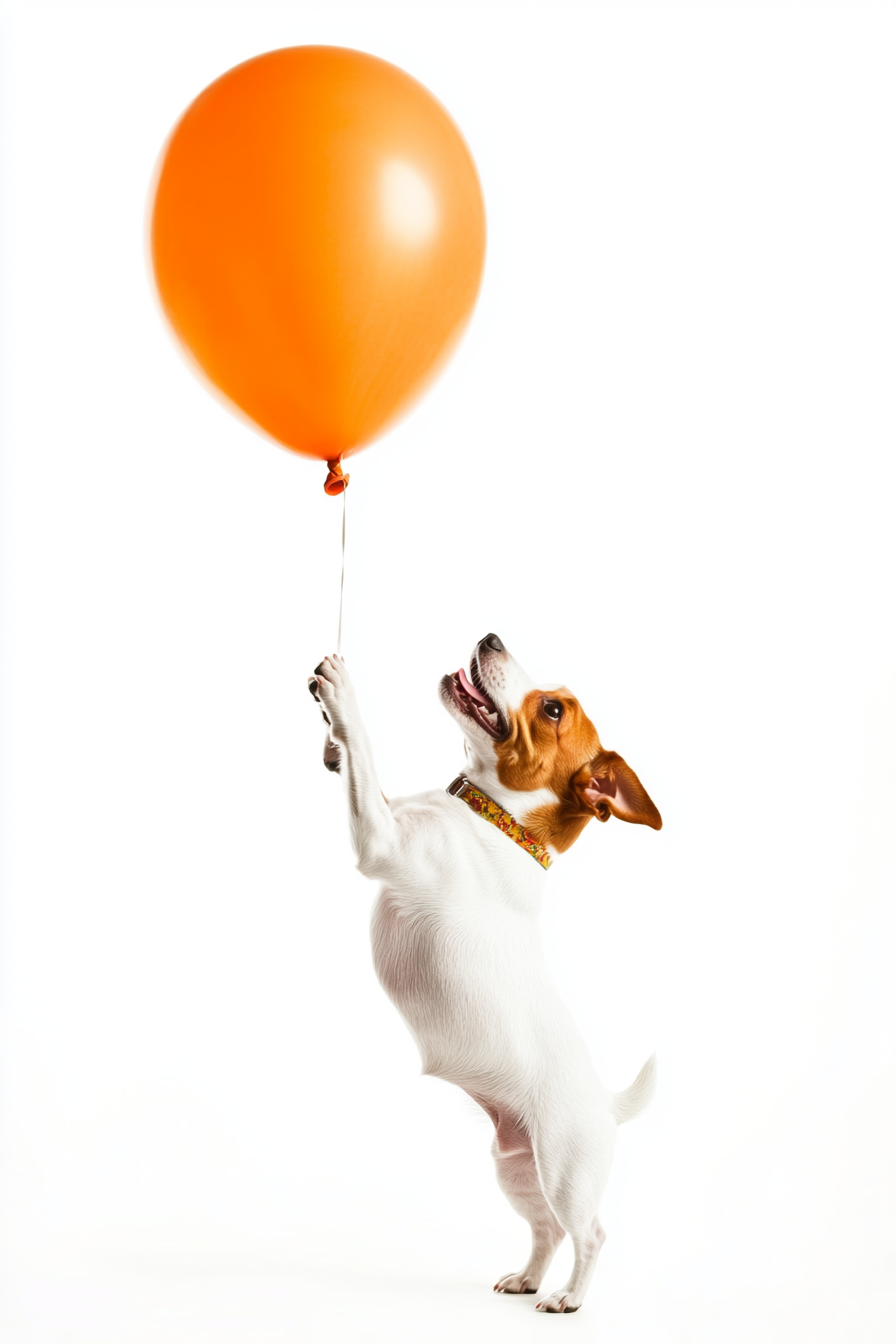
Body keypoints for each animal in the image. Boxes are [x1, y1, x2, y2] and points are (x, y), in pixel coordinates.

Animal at [308, 631, 658, 1311]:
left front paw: (343, 700)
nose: (491, 636)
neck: (496, 819)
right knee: (547, 1231)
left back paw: (569, 1297)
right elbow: (363, 777)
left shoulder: (379, 843)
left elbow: (367, 758)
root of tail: (607, 1105)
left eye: (552, 709)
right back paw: (528, 1278)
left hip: (567, 1170)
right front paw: (330, 744)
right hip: (515, 1169)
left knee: (591, 1233)